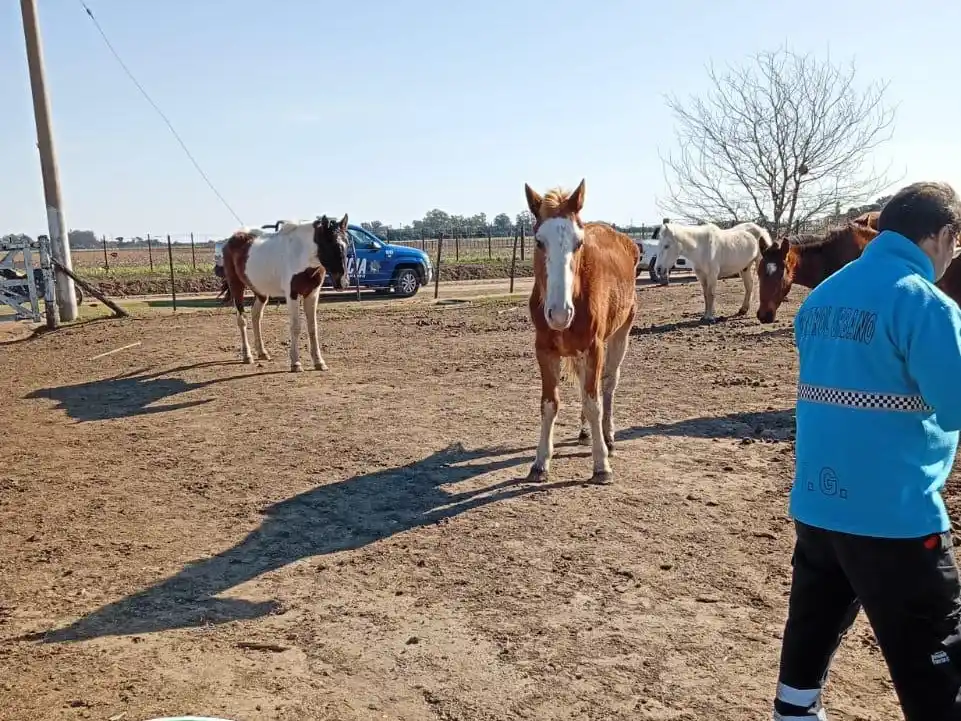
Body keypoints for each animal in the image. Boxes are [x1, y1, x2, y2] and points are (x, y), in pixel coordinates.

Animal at [221, 215, 350, 372]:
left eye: (347, 243)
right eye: (331, 243)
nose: (343, 283)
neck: (301, 254)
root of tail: (232, 239)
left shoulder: (312, 294)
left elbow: (313, 328)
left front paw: (319, 362)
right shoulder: (292, 294)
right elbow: (295, 327)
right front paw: (296, 363)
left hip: (260, 291)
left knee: (256, 316)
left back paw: (262, 352)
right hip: (236, 285)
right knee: (242, 319)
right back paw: (247, 356)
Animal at [524, 179, 639, 485]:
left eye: (579, 243)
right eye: (539, 241)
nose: (559, 313)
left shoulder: (594, 347)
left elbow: (593, 401)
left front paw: (601, 465)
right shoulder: (545, 350)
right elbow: (549, 403)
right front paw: (540, 462)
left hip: (621, 333)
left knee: (608, 383)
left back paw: (608, 437)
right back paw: (586, 431)